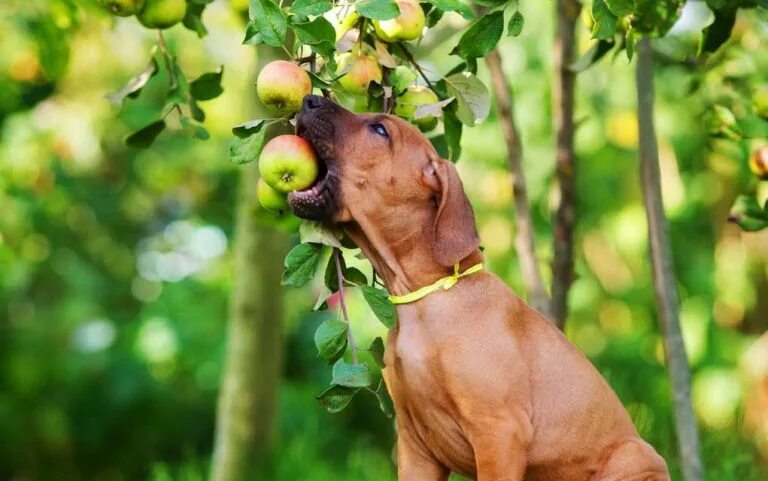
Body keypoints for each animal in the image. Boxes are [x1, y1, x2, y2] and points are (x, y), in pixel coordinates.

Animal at [292, 94, 668, 480]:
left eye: (380, 129)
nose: (309, 99)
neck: (426, 299)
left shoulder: (499, 431)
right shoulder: (415, 446)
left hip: (632, 459)